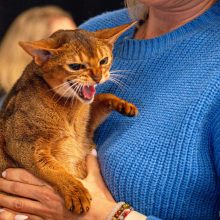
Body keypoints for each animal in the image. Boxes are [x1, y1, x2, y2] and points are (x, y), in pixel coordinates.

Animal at [0, 23, 138, 214]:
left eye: (104, 61)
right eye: (75, 66)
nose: (98, 77)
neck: (71, 109)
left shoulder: (86, 128)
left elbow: (101, 98)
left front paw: (124, 105)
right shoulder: (22, 142)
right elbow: (51, 168)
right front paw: (76, 191)